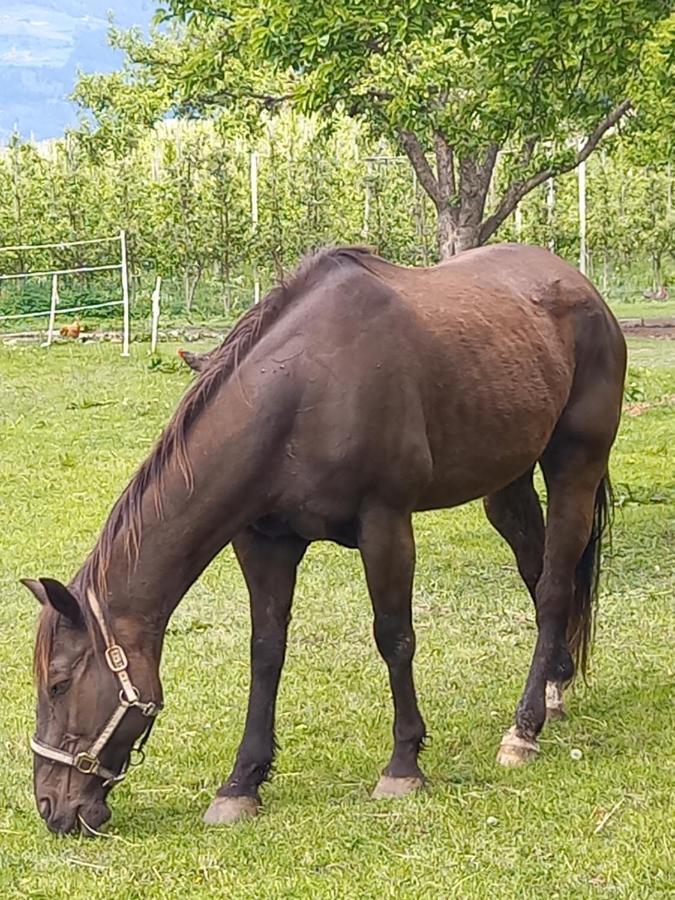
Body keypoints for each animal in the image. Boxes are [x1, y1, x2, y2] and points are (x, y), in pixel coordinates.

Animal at [25, 243, 628, 832]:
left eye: (58, 684)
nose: (52, 807)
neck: (303, 392)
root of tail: (581, 287)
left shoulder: (385, 523)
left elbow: (395, 637)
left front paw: (403, 766)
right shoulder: (262, 542)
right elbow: (266, 652)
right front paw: (241, 784)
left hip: (575, 464)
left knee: (553, 586)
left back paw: (524, 729)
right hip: (506, 484)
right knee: (536, 568)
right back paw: (553, 687)